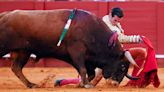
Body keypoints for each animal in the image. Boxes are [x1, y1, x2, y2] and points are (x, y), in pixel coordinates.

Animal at [0, 9, 131, 88]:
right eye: (123, 66)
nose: (115, 84)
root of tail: (3, 15)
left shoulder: (86, 59)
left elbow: (91, 73)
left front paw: (81, 84)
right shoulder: (77, 52)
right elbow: (83, 69)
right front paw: (86, 85)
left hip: (23, 51)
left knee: (16, 68)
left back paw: (31, 85)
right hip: (8, 48)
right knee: (16, 67)